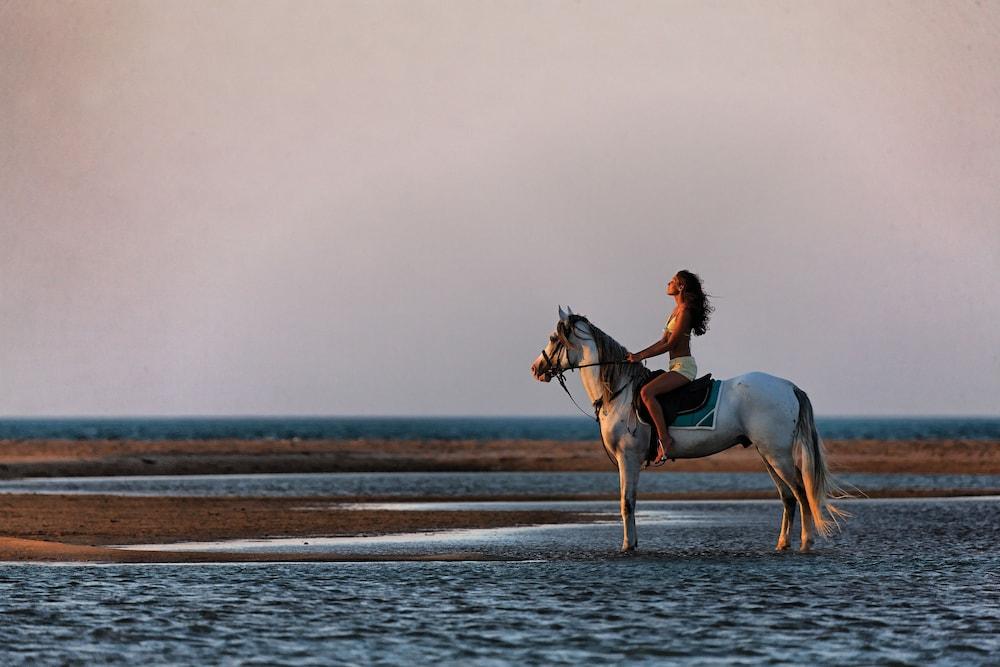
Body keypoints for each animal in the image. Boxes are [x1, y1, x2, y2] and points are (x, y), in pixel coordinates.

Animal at [528, 308, 848, 552]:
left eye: (553, 338)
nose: (535, 368)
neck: (619, 391)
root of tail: (788, 386)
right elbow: (629, 502)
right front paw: (632, 543)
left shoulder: (627, 458)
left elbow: (626, 503)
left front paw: (628, 546)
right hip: (767, 454)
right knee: (788, 497)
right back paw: (782, 544)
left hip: (777, 454)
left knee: (801, 493)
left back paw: (806, 543)